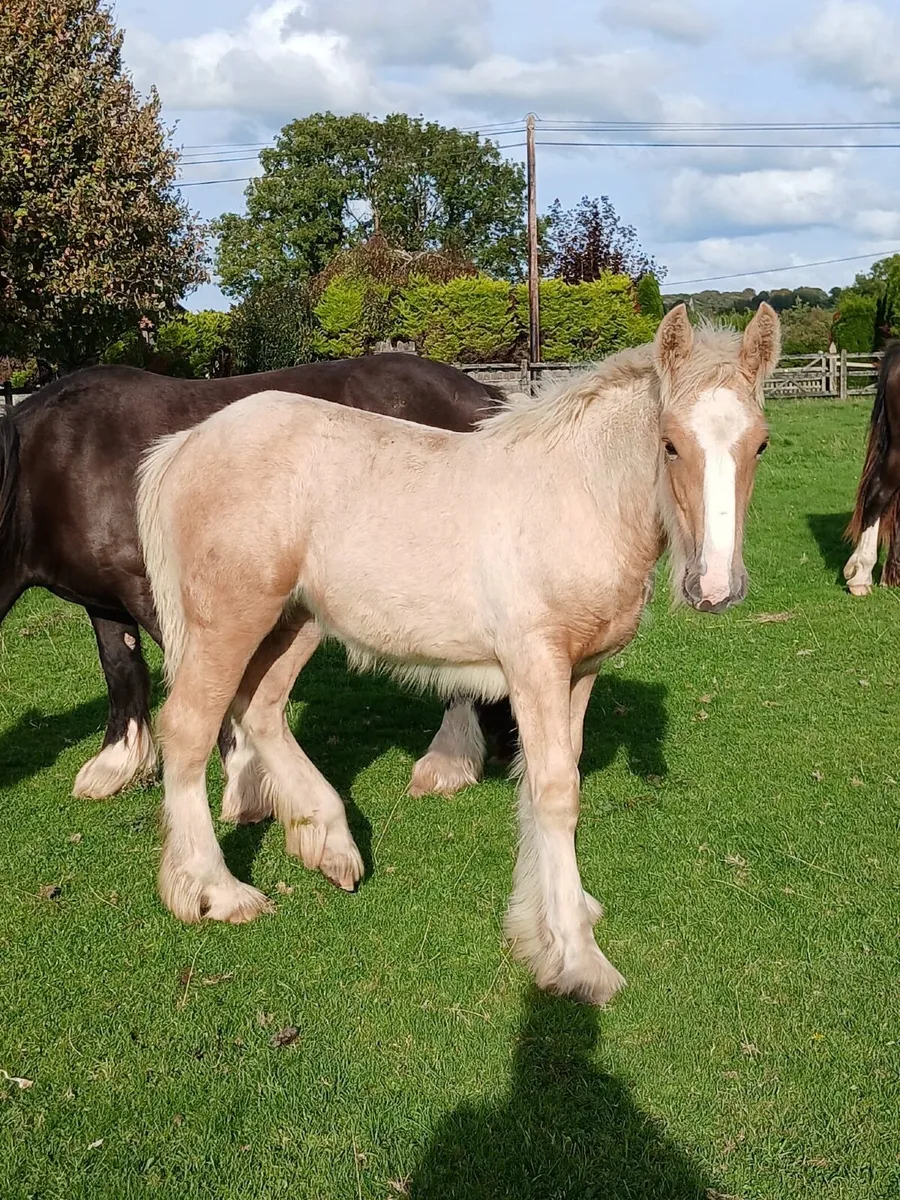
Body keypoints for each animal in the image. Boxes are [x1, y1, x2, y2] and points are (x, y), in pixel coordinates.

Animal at [0, 354, 519, 806]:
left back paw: (447, 763)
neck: (54, 467)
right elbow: (121, 670)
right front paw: (115, 766)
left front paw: (246, 784)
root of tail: (485, 395)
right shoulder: (106, 602)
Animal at [135, 303, 779, 1006]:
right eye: (669, 443)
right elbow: (556, 791)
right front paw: (577, 958)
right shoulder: (535, 665)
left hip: (296, 619)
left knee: (262, 709)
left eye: (760, 444)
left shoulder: (579, 671)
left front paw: (554, 916)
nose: (714, 587)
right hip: (227, 620)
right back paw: (216, 891)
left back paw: (329, 842)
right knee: (188, 730)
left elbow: (549, 779)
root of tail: (183, 445)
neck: (577, 497)